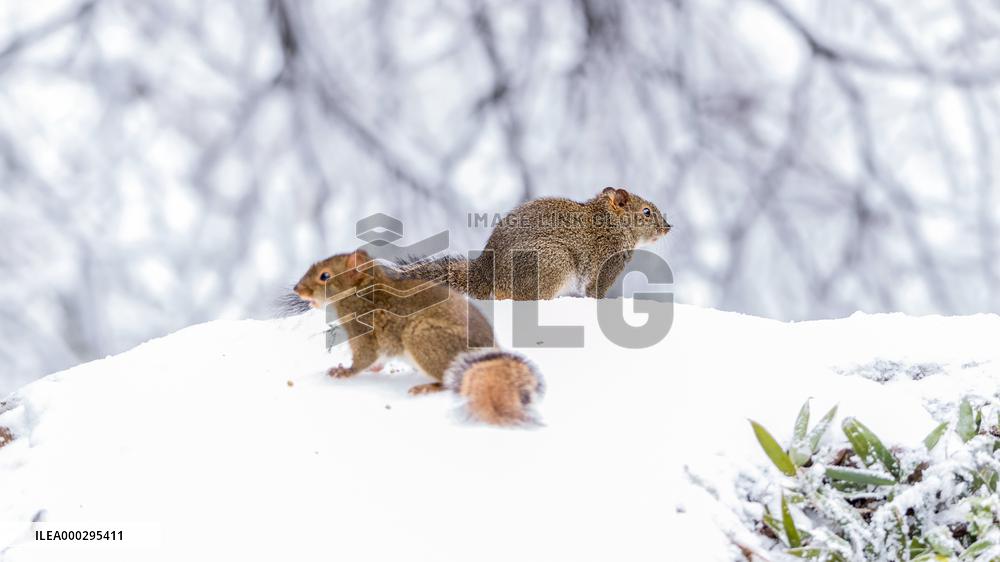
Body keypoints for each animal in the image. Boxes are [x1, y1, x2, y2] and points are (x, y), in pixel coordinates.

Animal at [293, 249, 545, 425]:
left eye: (325, 276)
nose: (297, 289)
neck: (363, 290)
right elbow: (380, 360)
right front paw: (374, 369)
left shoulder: (363, 331)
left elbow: (364, 358)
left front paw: (344, 372)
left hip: (421, 339)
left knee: (448, 381)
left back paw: (426, 388)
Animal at [396, 187, 671, 299]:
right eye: (647, 212)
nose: (668, 227)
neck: (612, 223)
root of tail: (487, 271)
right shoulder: (607, 264)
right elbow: (595, 292)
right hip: (553, 262)